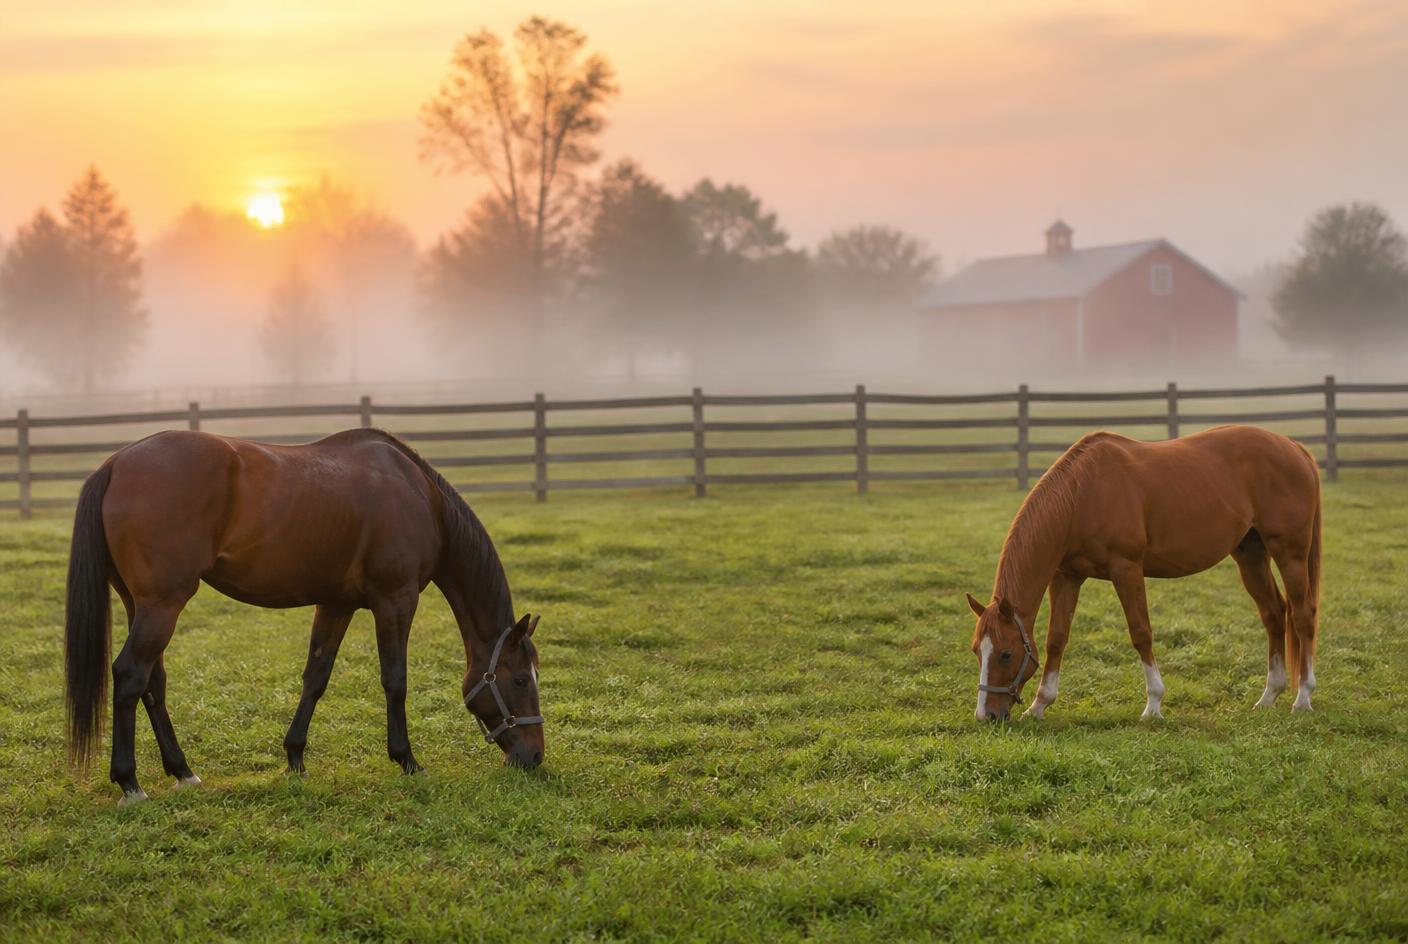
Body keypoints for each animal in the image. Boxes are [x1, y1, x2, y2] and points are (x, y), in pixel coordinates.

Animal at [64, 427, 544, 805]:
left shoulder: (336, 604)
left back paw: (182, 771)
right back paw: (129, 782)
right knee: (130, 675)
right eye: (521, 680)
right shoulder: (396, 600)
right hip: (163, 604)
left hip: (142, 604)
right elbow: (395, 681)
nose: (535, 756)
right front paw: (407, 759)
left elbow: (316, 677)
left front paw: (294, 757)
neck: (420, 497)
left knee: (153, 683)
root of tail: (115, 464)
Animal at [966, 425, 1322, 722]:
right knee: (1274, 614)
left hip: (1289, 553)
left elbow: (1140, 633)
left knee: (1302, 615)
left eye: (1006, 654)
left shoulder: (1126, 569)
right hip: (1251, 556)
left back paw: (1303, 698)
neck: (1081, 496)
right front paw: (1040, 705)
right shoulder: (1066, 576)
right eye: (976, 650)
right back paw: (1269, 695)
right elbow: (1056, 638)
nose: (987, 715)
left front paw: (1153, 705)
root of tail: (1294, 447)